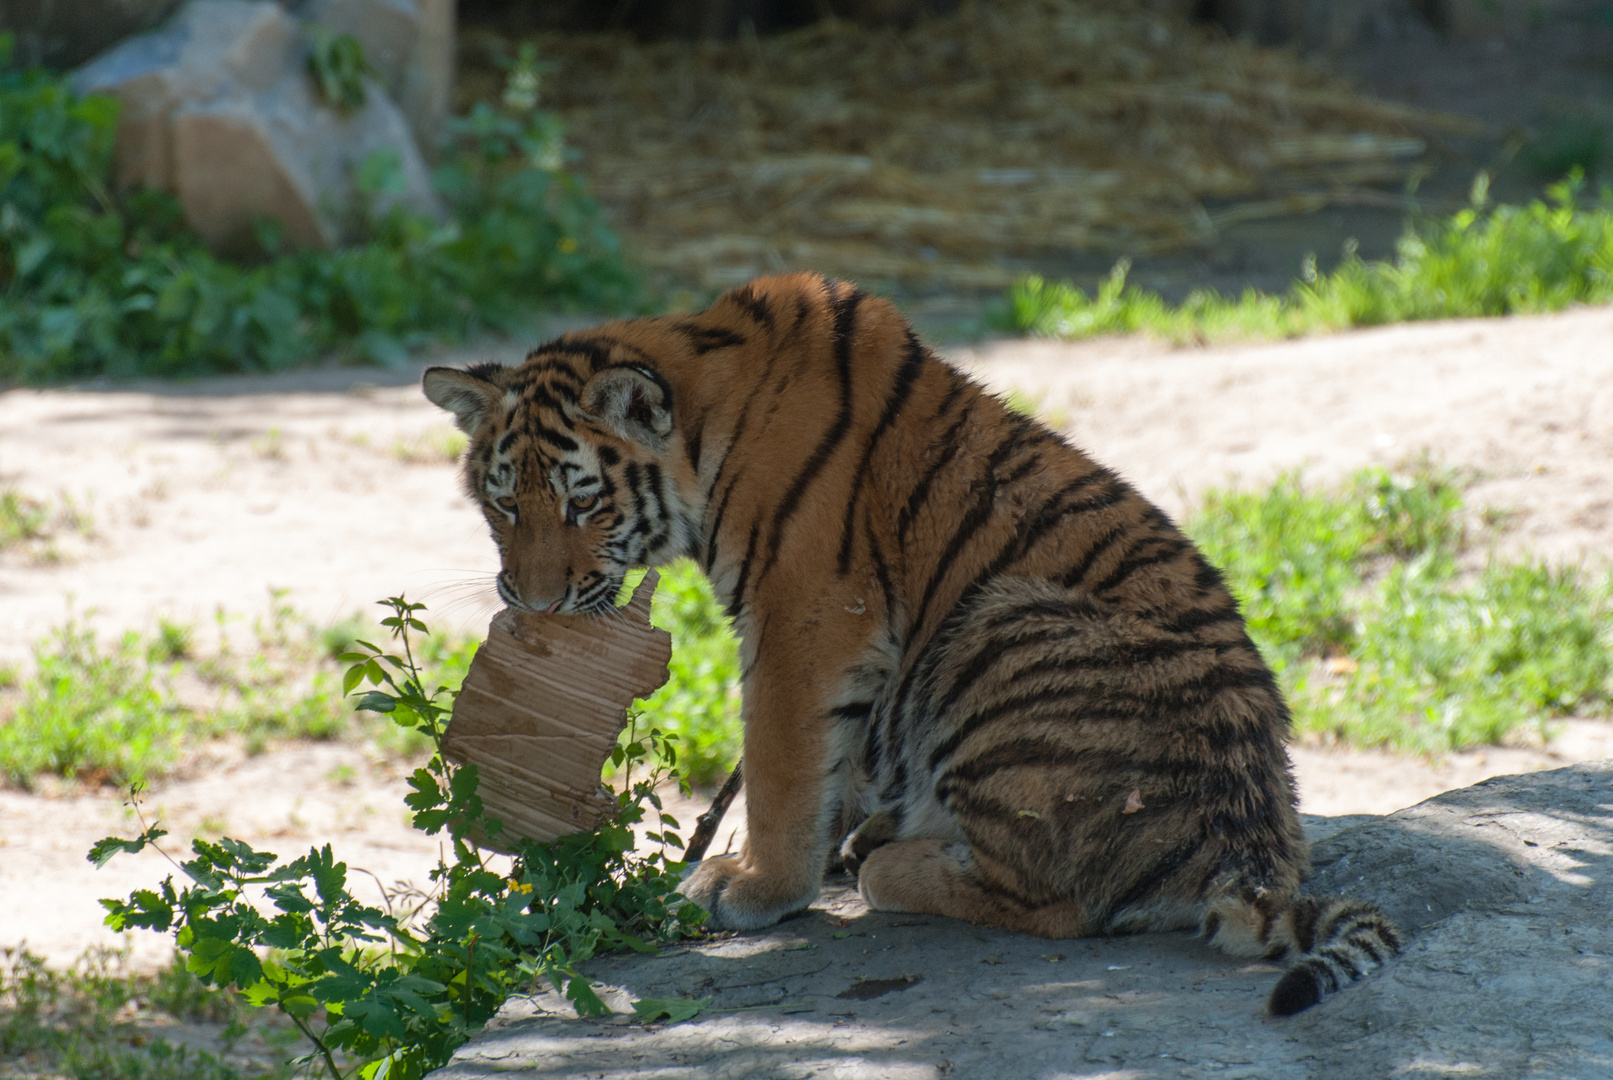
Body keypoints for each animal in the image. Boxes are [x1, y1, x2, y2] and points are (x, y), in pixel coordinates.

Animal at [425, 270, 1400, 1018]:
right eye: (504, 504)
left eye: (582, 502)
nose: (535, 602)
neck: (704, 427)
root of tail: (1253, 858)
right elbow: (835, 761)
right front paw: (820, 844)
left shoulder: (806, 614)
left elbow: (779, 763)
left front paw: (754, 886)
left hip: (999, 626)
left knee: (1060, 901)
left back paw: (891, 864)